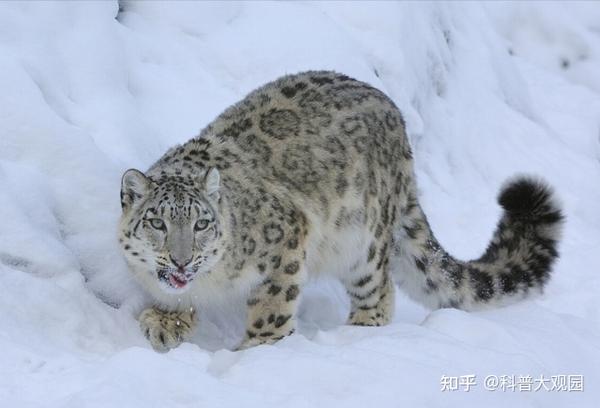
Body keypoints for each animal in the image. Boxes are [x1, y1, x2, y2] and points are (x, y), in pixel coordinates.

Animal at [117, 70, 564, 350]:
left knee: (380, 291)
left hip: (363, 244)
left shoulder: (287, 238)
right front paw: (165, 323)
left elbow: (273, 306)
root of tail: (397, 118)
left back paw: (359, 333)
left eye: (202, 223)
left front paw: (256, 349)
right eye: (157, 222)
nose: (181, 259)